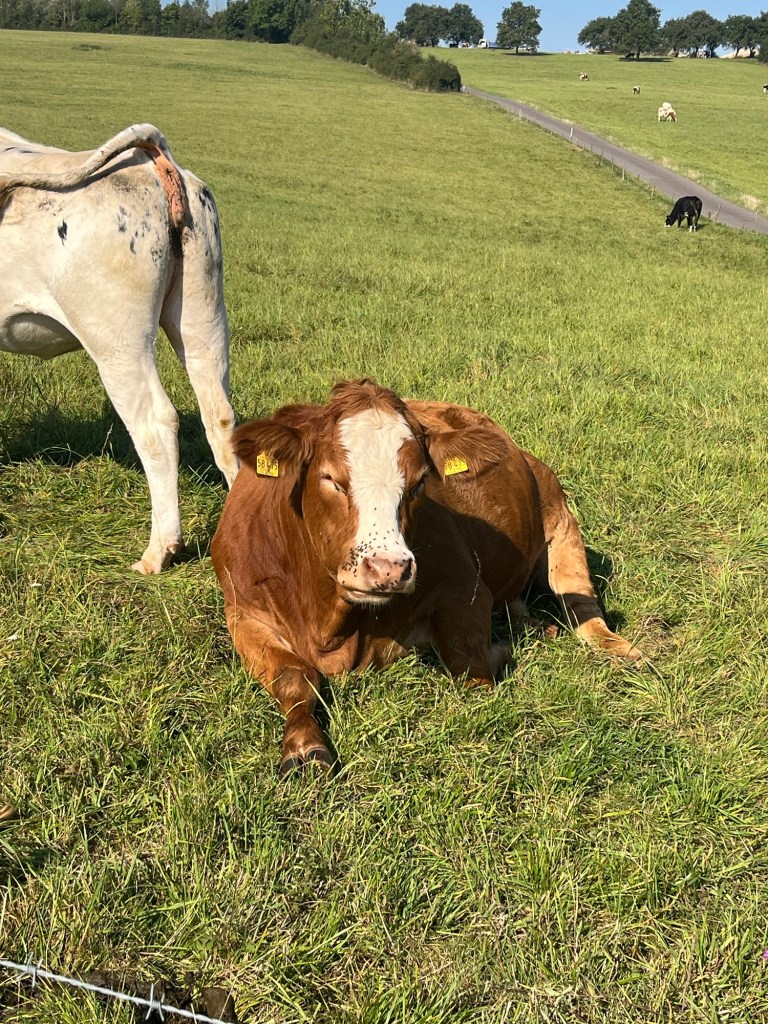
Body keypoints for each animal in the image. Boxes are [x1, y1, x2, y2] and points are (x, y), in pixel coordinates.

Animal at [0, 124, 239, 573]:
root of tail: (152, 159)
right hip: (202, 316)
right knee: (220, 418)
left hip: (115, 336)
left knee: (156, 424)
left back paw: (158, 552)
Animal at [211, 380, 642, 775]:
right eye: (330, 478)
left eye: (419, 482)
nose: (388, 568)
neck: (329, 624)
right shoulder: (242, 611)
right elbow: (294, 677)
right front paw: (305, 747)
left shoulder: (464, 587)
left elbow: (470, 668)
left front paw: (500, 651)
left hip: (560, 516)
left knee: (580, 602)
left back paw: (616, 648)